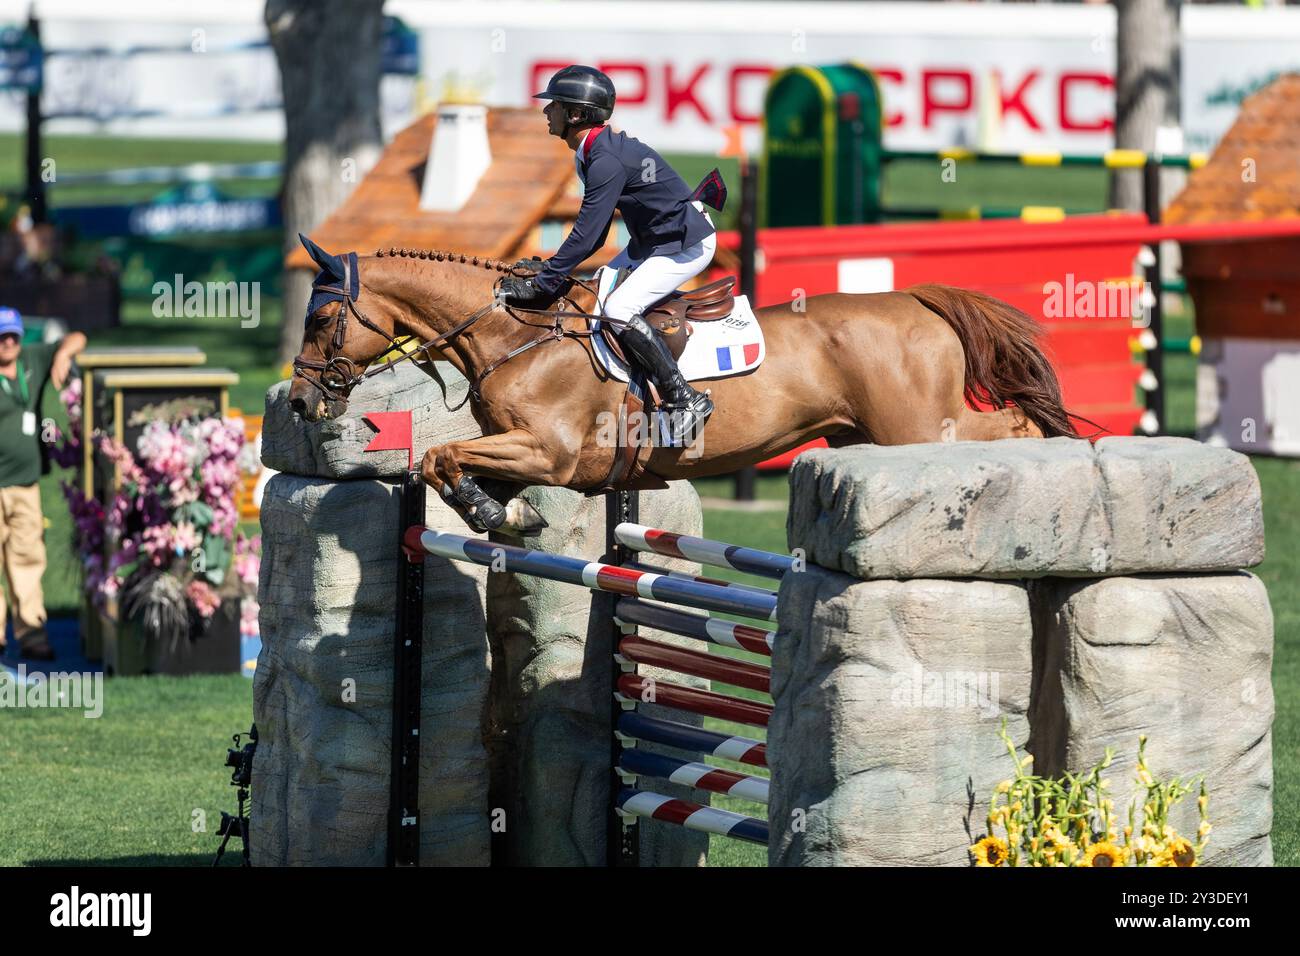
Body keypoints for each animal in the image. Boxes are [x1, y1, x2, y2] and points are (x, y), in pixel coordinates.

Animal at [292, 238, 1076, 535]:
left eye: (324, 317)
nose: (300, 401)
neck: (516, 336)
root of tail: (916, 299)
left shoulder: (551, 453)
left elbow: (438, 456)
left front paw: (494, 513)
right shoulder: (519, 448)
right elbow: (447, 463)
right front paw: (503, 513)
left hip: (913, 427)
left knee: (1015, 428)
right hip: (871, 432)